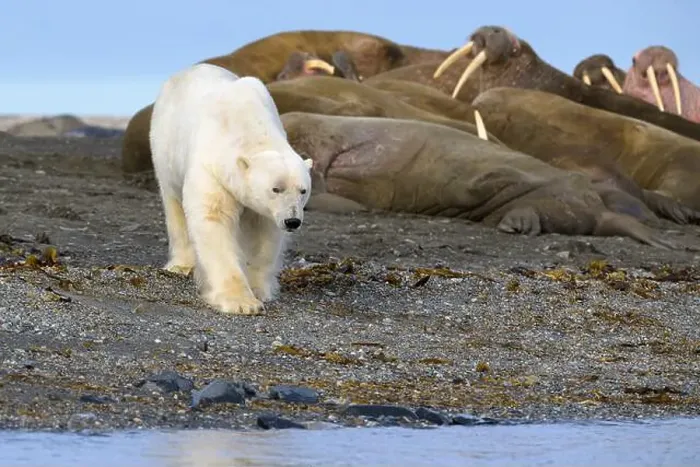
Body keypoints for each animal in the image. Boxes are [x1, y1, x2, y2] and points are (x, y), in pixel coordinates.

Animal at [149, 63, 313, 315]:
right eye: (276, 189)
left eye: (303, 191)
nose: (292, 221)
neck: (247, 124)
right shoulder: (211, 167)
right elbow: (214, 218)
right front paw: (241, 302)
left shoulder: (265, 209)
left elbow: (263, 232)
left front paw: (258, 289)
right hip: (164, 150)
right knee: (174, 205)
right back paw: (180, 264)